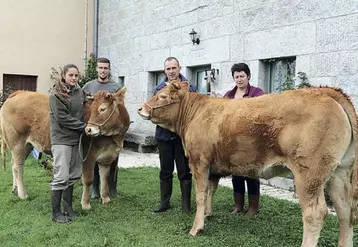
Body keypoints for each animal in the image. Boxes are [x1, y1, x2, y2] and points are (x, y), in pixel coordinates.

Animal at [0, 89, 130, 210]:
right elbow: (88, 180)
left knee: (14, 164)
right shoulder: (88, 156)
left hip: (27, 146)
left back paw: (15, 189)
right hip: (17, 143)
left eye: (102, 109)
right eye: (92, 109)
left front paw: (106, 199)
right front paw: (86, 204)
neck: (113, 139)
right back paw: (23, 194)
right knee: (18, 167)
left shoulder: (106, 158)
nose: (88, 130)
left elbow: (104, 177)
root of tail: (20, 92)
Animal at [139, 81, 358, 247]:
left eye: (162, 96)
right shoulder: (213, 168)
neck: (195, 114)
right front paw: (208, 216)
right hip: (338, 172)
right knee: (344, 210)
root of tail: (324, 91)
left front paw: (196, 228)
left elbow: (200, 194)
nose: (141, 108)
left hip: (309, 174)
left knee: (315, 213)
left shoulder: (198, 161)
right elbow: (210, 191)